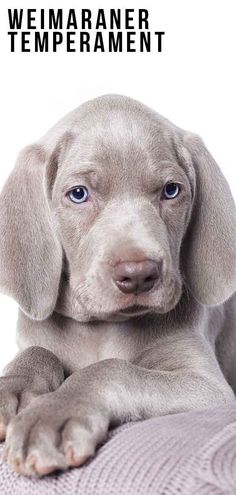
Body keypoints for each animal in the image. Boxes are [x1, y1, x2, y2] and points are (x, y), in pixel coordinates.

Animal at [0, 95, 236, 478]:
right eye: (78, 194)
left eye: (171, 190)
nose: (139, 274)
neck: (101, 328)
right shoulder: (34, 338)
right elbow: (37, 351)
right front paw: (12, 390)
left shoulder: (209, 387)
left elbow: (111, 369)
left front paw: (53, 414)